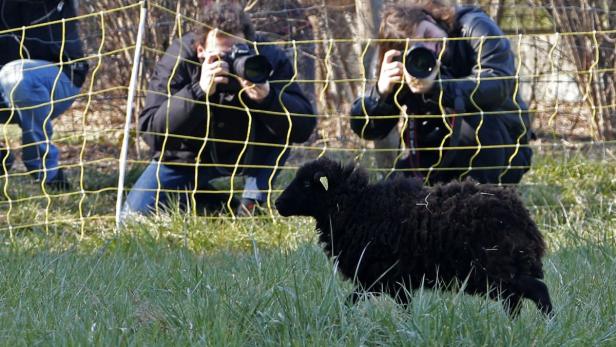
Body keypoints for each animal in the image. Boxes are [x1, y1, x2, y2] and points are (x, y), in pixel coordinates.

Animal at [274, 158, 552, 318]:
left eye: (306, 184)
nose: (277, 204)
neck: (357, 205)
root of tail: (523, 216)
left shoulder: (381, 277)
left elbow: (353, 302)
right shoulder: (388, 281)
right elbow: (387, 306)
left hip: (498, 268)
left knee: (538, 291)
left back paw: (549, 324)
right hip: (502, 272)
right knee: (515, 302)